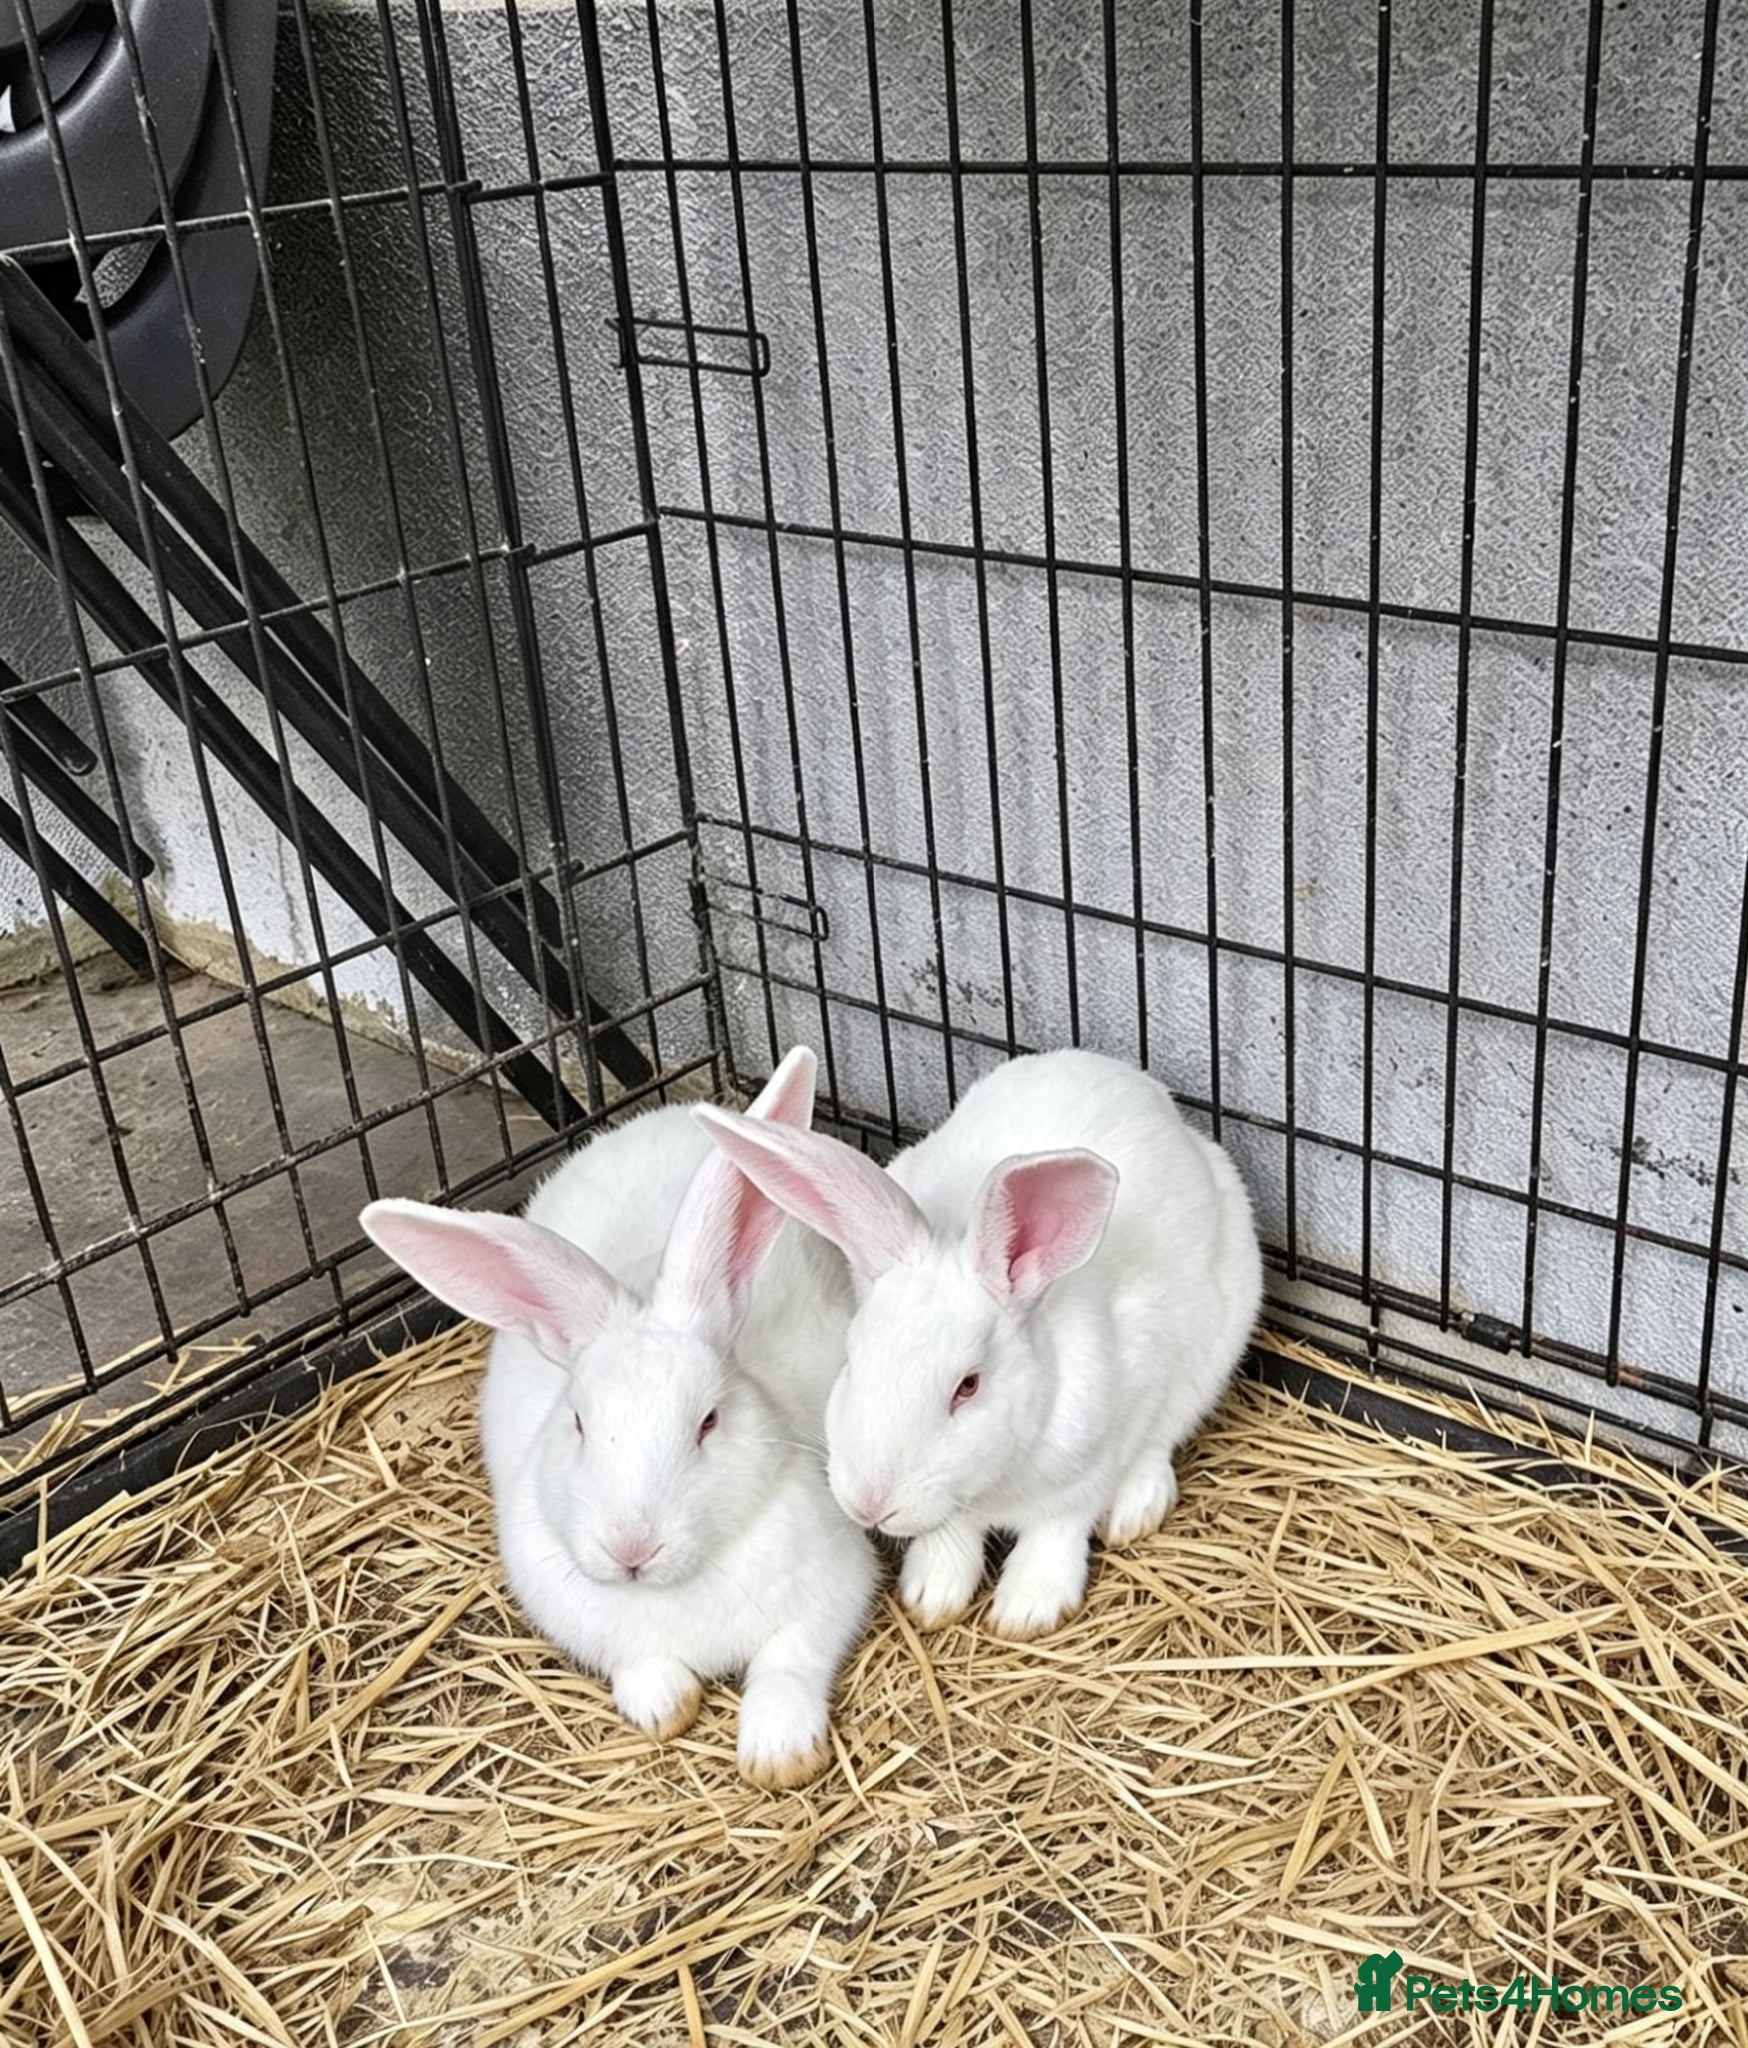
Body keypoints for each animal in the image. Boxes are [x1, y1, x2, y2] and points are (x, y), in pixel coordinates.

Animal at [358, 1047, 879, 1789]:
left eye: (708, 1422)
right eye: (578, 1423)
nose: (631, 1550)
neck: (680, 1584)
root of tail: (656, 1114)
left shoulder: (827, 1598)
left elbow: (789, 1666)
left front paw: (779, 1758)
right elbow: (643, 1671)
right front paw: (670, 1708)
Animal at [693, 1047, 1261, 1642]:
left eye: (968, 1386)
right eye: (851, 1360)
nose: (870, 1505)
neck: (996, 1483)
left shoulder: (1094, 1461)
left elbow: (1058, 1529)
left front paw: (1027, 1610)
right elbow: (954, 1538)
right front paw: (931, 1596)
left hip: (1216, 1345)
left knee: (1163, 1439)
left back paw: (1135, 1510)